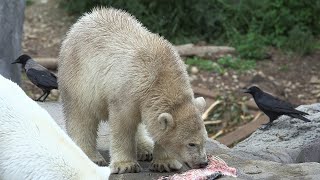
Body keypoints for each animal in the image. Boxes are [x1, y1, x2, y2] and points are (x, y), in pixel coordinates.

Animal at [58, 7, 209, 174]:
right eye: (191, 143)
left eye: (205, 140)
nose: (203, 163)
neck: (160, 75)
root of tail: (83, 19)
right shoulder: (125, 93)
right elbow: (123, 125)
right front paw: (126, 165)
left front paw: (165, 163)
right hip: (79, 77)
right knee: (81, 116)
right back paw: (90, 156)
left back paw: (146, 148)